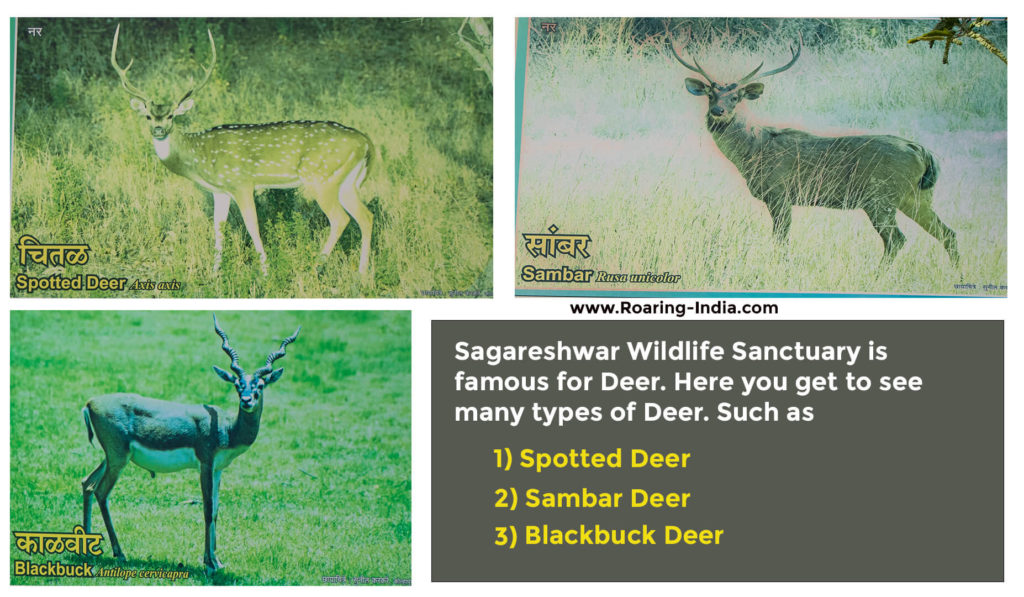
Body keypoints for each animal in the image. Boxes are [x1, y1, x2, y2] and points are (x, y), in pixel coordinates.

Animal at [81, 314, 300, 574]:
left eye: (260, 386)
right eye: (237, 385)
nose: (246, 401)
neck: (228, 428)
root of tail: (90, 402)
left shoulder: (217, 470)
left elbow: (216, 510)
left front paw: (217, 560)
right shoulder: (205, 464)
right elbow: (206, 509)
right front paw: (210, 564)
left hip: (111, 457)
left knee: (87, 484)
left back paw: (86, 550)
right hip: (118, 459)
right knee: (100, 492)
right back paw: (120, 553)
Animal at [111, 24, 375, 278]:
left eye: (171, 116)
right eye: (148, 116)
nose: (158, 129)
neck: (198, 157)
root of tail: (366, 142)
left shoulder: (242, 182)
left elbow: (252, 226)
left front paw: (265, 273)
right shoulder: (220, 191)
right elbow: (219, 228)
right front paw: (214, 274)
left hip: (322, 177)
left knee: (340, 219)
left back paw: (315, 268)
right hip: (346, 182)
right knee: (366, 216)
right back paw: (362, 274)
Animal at [670, 40, 960, 267]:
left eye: (736, 97)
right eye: (710, 95)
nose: (718, 111)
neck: (754, 150)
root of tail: (922, 151)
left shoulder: (780, 192)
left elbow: (781, 239)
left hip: (881, 196)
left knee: (897, 240)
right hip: (916, 197)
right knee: (949, 234)